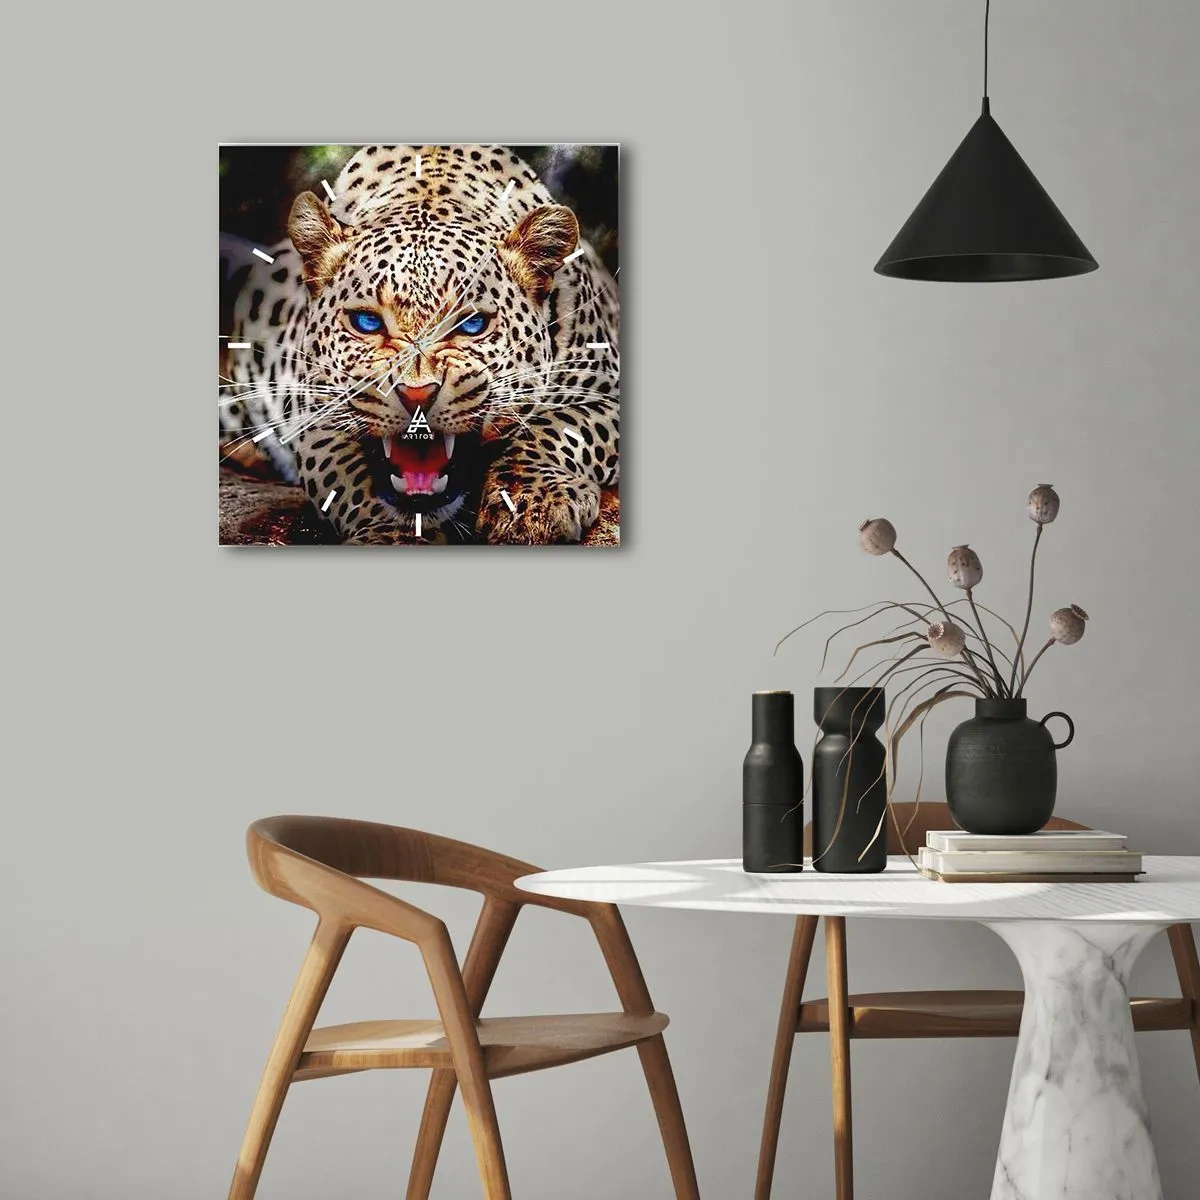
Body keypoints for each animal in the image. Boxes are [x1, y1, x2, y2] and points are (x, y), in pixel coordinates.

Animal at [221, 144, 619, 544]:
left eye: (472, 324)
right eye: (367, 322)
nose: (416, 395)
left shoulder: (606, 390)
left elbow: (555, 428)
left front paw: (532, 500)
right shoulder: (315, 414)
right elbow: (349, 477)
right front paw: (392, 535)